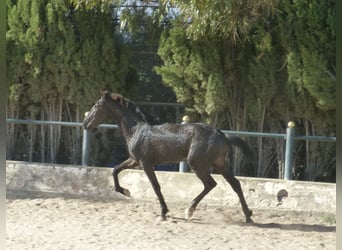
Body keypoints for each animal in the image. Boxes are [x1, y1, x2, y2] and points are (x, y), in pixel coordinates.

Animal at [83, 90, 254, 223]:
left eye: (97, 106)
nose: (85, 124)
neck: (136, 131)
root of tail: (223, 135)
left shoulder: (145, 163)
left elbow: (156, 186)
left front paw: (163, 213)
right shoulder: (134, 160)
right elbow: (115, 170)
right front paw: (125, 191)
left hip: (197, 163)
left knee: (210, 184)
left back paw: (189, 210)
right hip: (220, 164)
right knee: (235, 184)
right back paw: (248, 215)